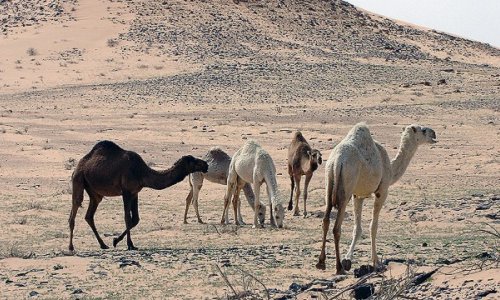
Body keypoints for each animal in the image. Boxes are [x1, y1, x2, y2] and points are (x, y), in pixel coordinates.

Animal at [67, 141, 208, 251]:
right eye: (194, 161)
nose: (205, 164)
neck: (141, 171)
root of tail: (79, 165)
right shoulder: (126, 192)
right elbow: (127, 218)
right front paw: (128, 244)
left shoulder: (135, 192)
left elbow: (136, 219)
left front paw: (117, 241)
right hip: (78, 179)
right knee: (75, 208)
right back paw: (71, 247)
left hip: (94, 192)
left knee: (89, 215)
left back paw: (103, 245)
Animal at [316, 122, 438, 274]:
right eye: (423, 130)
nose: (434, 133)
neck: (391, 170)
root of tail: (338, 161)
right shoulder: (382, 191)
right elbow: (373, 226)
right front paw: (376, 262)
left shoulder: (358, 195)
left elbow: (357, 228)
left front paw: (348, 259)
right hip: (346, 189)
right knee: (336, 227)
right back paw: (339, 268)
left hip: (329, 182)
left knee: (325, 221)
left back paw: (321, 262)